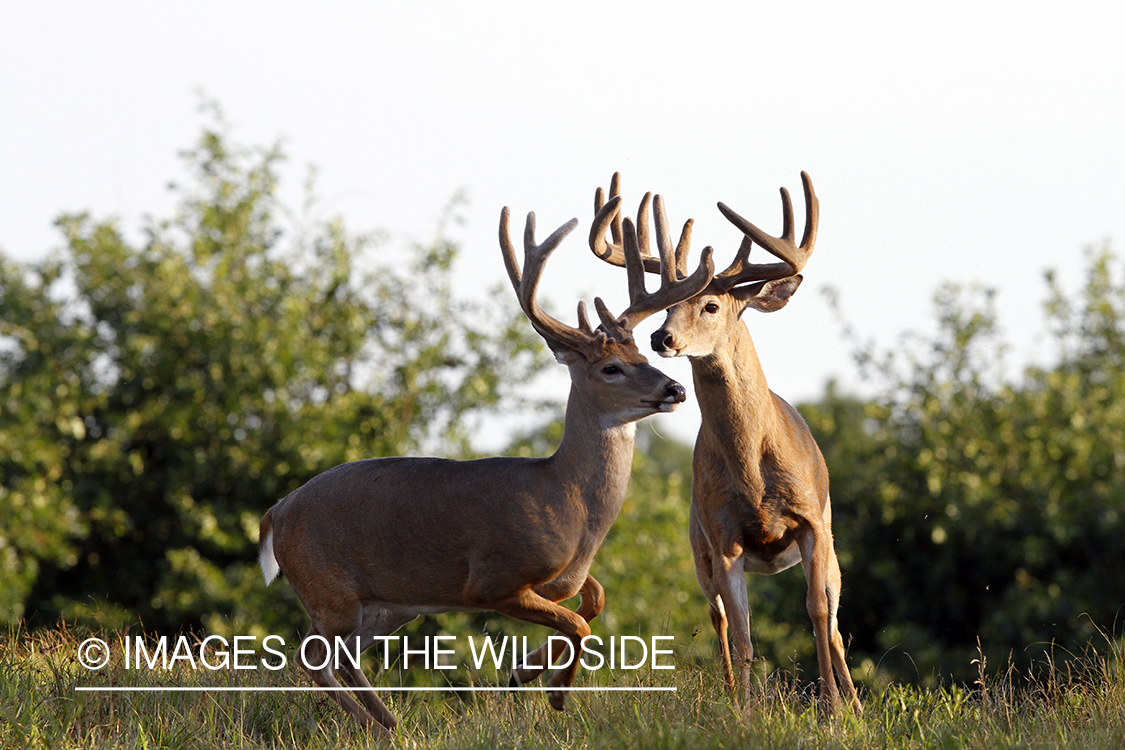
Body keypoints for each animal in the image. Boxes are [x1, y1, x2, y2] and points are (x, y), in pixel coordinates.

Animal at [257, 202, 711, 737]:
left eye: (642, 354)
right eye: (611, 368)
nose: (675, 389)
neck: (567, 501)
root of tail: (275, 513)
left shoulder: (564, 578)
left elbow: (594, 602)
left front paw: (527, 673)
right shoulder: (492, 580)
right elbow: (577, 621)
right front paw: (553, 692)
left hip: (382, 606)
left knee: (330, 658)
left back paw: (382, 722)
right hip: (331, 591)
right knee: (312, 656)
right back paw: (381, 723)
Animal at [589, 172, 859, 715]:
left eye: (711, 305)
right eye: (669, 307)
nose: (662, 338)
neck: (754, 471)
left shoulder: (812, 521)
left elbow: (818, 614)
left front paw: (833, 710)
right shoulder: (724, 534)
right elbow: (743, 634)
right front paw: (748, 713)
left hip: (831, 544)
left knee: (837, 623)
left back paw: (856, 704)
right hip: (700, 550)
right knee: (719, 623)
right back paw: (736, 694)